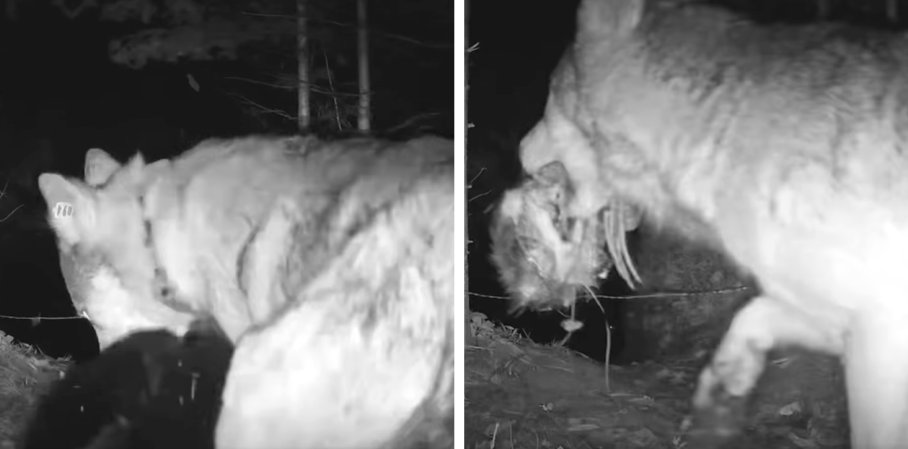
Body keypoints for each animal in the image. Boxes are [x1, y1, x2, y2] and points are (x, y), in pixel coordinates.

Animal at [494, 0, 908, 448]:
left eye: (549, 97)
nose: (519, 152)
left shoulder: (881, 326)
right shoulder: (838, 313)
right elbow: (750, 318)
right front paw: (719, 402)